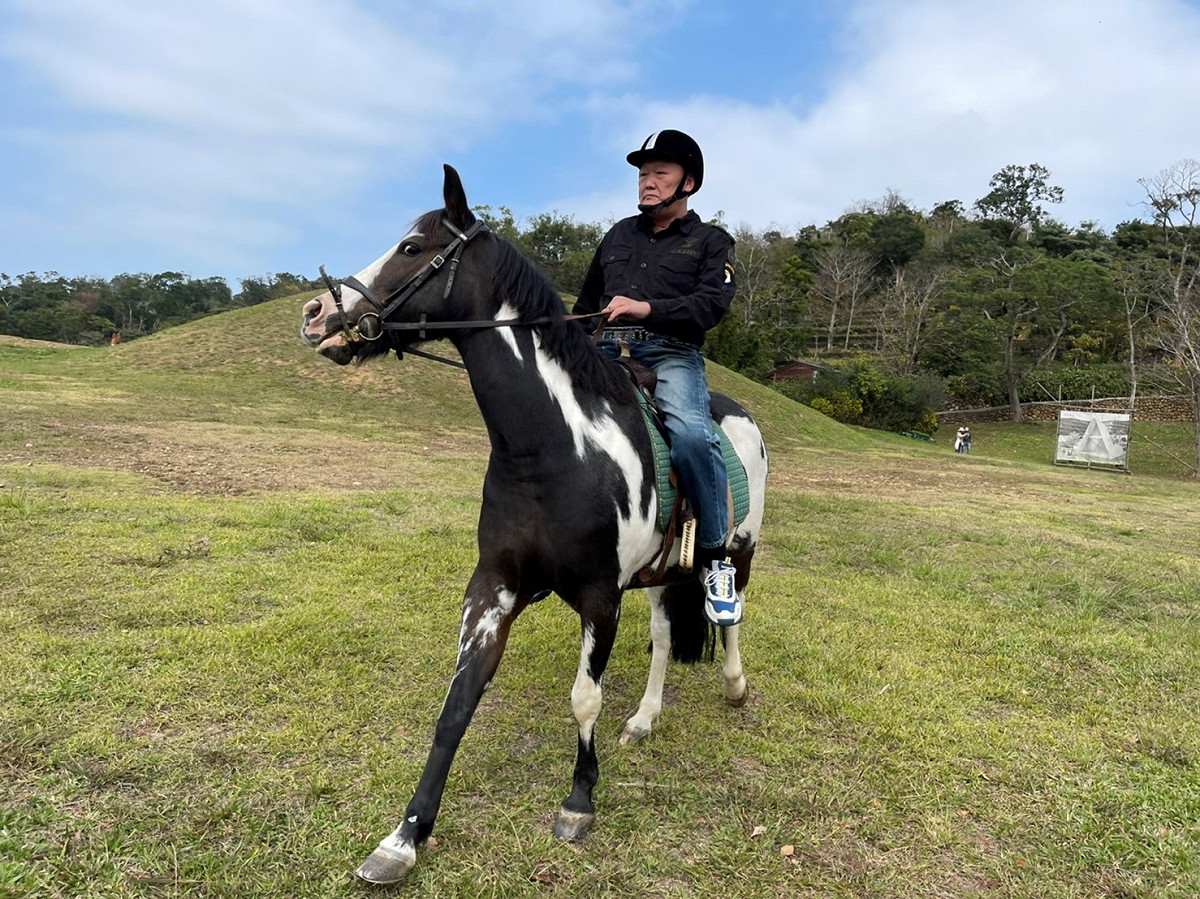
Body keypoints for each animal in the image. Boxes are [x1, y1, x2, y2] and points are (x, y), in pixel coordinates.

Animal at [300, 165, 768, 884]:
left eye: (411, 247)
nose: (316, 314)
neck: (554, 450)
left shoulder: (601, 598)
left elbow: (584, 699)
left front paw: (579, 800)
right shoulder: (493, 587)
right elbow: (458, 701)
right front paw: (406, 835)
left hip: (739, 549)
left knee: (731, 611)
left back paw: (737, 687)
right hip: (661, 575)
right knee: (665, 638)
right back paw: (646, 719)